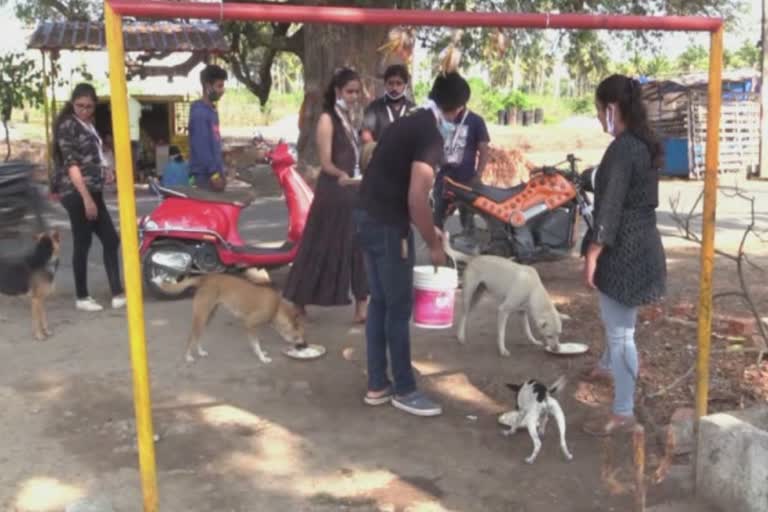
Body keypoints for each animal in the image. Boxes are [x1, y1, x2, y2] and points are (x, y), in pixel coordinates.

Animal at [157, 274, 306, 362]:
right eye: (299, 335)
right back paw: (188, 356)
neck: (276, 308)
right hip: (201, 316)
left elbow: (253, 343)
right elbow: (256, 343)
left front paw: (259, 353)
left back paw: (200, 352)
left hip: (208, 317)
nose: (304, 345)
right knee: (191, 336)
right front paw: (262, 358)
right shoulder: (250, 324)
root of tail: (206, 277)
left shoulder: (250, 327)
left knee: (198, 336)